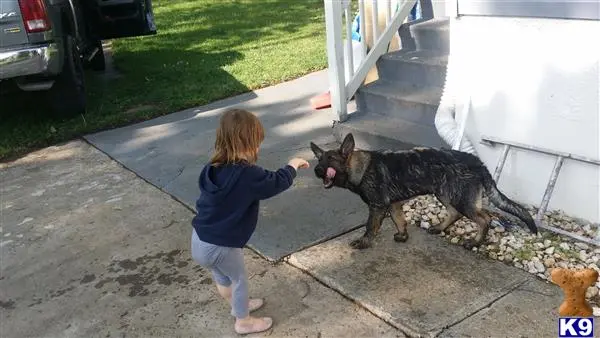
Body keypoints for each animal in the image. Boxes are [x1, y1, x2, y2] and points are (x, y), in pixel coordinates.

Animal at [312, 133, 536, 250]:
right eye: (319, 160)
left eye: (331, 160)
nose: (316, 170)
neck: (361, 168)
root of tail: (478, 163)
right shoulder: (393, 205)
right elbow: (400, 220)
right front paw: (402, 236)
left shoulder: (378, 206)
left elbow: (370, 227)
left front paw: (364, 242)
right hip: (445, 193)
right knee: (455, 213)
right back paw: (440, 228)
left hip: (462, 200)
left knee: (485, 219)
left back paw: (475, 242)